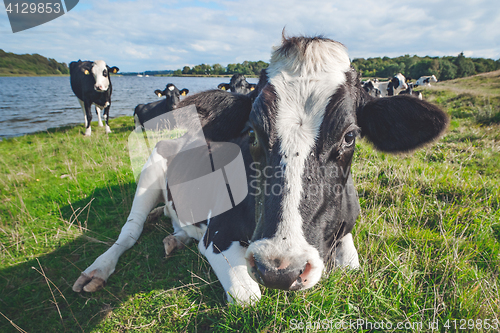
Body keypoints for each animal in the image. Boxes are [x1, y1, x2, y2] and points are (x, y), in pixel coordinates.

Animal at [71, 34, 450, 304]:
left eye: (350, 136)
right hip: (151, 169)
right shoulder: (218, 234)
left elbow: (352, 266)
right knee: (129, 231)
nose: (280, 269)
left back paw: (174, 239)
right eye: (252, 131)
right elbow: (248, 298)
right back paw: (98, 269)